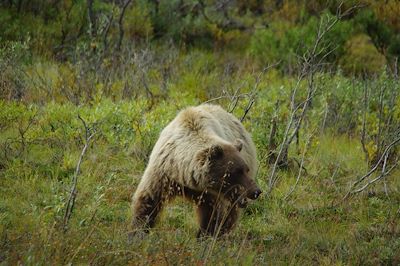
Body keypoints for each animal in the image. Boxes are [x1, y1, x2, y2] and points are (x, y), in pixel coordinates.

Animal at [131, 104, 260, 237]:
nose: (256, 191)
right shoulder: (163, 172)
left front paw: (205, 235)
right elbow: (148, 199)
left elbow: (212, 213)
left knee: (231, 212)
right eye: (236, 172)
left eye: (245, 169)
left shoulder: (209, 192)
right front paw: (138, 230)